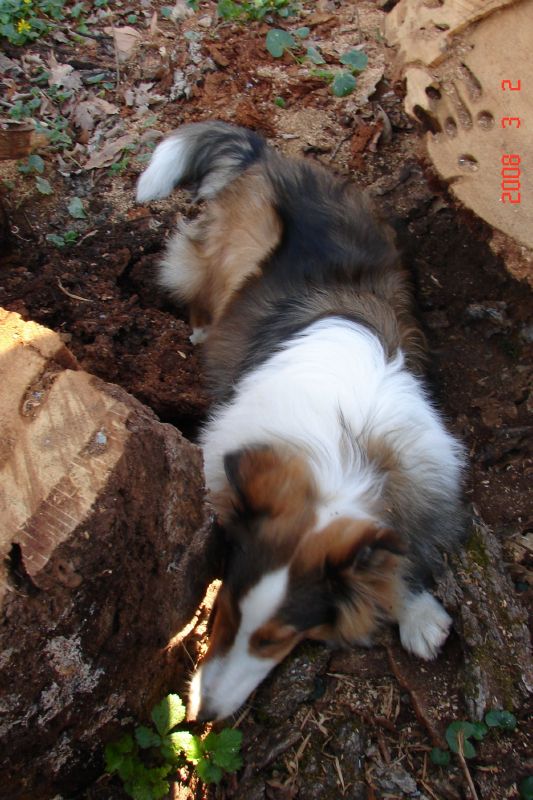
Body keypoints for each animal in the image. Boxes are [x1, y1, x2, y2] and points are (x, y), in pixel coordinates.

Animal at [137, 120, 466, 724]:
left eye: (277, 639)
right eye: (222, 610)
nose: (203, 715)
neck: (339, 449)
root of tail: (264, 155)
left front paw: (416, 611)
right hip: (232, 251)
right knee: (200, 289)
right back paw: (201, 329)